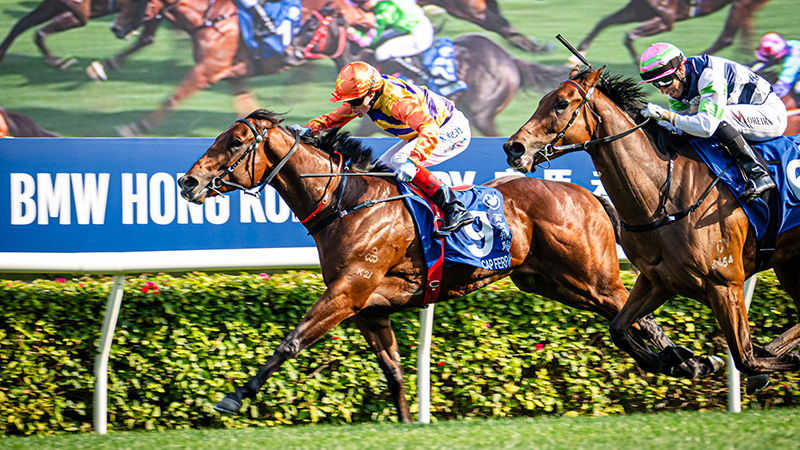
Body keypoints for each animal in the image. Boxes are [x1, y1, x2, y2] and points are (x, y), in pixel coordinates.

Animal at [177, 109, 722, 422]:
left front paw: (231, 398)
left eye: (234, 142)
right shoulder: (370, 309)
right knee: (633, 318)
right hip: (553, 283)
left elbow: (290, 341)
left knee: (631, 315)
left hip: (592, 276)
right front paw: (405, 422)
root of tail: (587, 193)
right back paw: (690, 361)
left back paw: (689, 361)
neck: (346, 203)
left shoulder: (349, 291)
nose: (188, 182)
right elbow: (395, 373)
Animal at [503, 66, 800, 393]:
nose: (513, 147)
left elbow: (745, 358)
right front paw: (676, 360)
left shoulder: (725, 284)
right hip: (789, 264)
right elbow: (619, 329)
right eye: (542, 99)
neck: (665, 195)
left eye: (561, 103)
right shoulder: (657, 280)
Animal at [574, 0, 771, 65]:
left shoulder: (667, 19)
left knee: (727, 38)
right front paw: (580, 51)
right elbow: (605, 21)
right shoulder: (639, 9)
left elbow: (629, 36)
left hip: (741, 4)